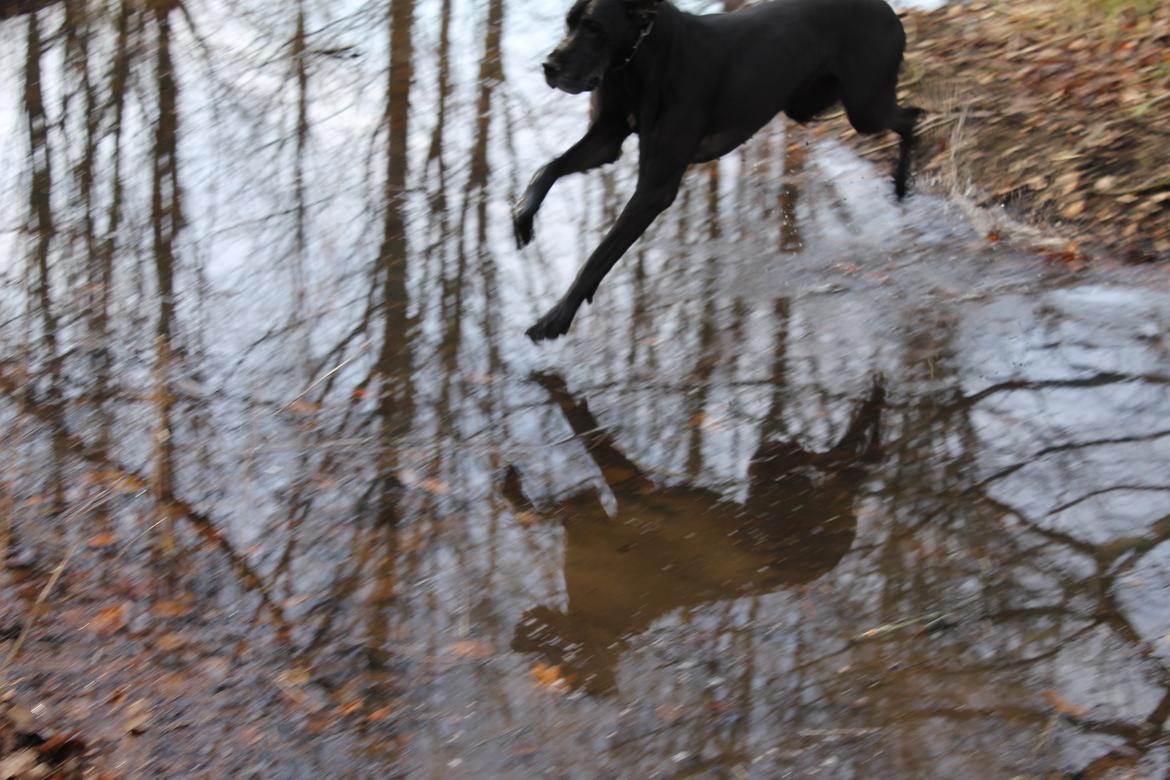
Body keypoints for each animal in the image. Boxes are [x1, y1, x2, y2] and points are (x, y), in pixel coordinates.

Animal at [517, 0, 917, 341]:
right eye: (568, 23)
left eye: (594, 27)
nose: (548, 67)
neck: (639, 60)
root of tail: (886, 9)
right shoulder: (607, 141)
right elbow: (547, 168)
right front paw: (523, 217)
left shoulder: (655, 189)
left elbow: (599, 255)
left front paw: (556, 317)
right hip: (807, 104)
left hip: (864, 107)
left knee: (913, 117)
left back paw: (901, 184)